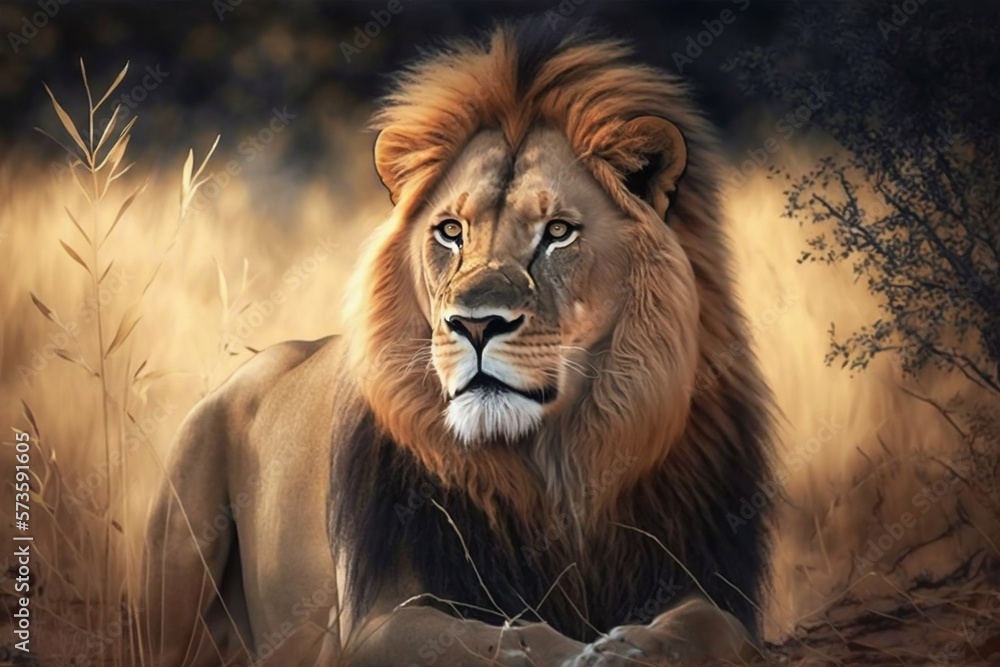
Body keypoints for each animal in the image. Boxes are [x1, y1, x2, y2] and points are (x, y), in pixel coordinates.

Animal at [143, 23, 773, 667]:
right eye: (451, 231)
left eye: (558, 232)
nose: (474, 326)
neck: (555, 465)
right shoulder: (366, 626)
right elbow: (501, 635)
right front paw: (581, 650)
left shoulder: (711, 580)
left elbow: (716, 624)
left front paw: (630, 646)